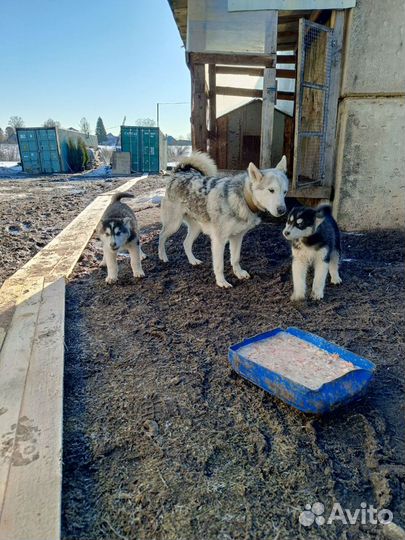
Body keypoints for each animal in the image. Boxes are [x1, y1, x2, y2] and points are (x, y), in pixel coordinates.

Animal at [158, 151, 288, 286]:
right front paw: (221, 282)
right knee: (161, 236)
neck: (243, 198)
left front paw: (239, 273)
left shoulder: (237, 237)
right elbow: (219, 265)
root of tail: (179, 173)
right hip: (173, 225)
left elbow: (235, 259)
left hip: (196, 229)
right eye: (271, 190)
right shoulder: (219, 240)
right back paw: (163, 257)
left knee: (185, 243)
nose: (282, 210)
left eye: (285, 192)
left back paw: (193, 261)